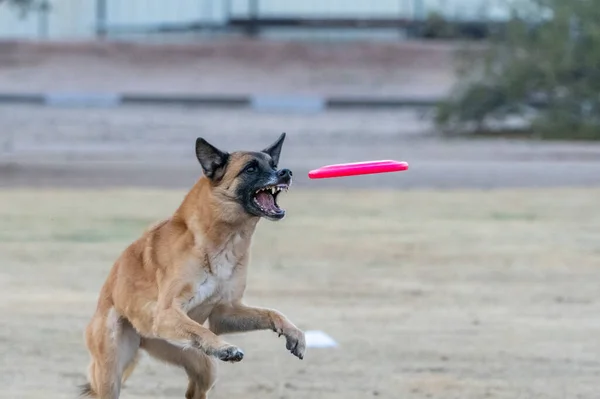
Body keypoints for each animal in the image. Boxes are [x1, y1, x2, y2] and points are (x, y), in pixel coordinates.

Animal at [79, 133, 304, 398]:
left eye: (274, 165)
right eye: (251, 168)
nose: (286, 173)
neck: (220, 240)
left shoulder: (225, 312)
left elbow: (272, 312)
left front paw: (294, 333)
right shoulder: (168, 313)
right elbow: (201, 330)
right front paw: (224, 347)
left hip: (198, 361)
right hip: (113, 371)